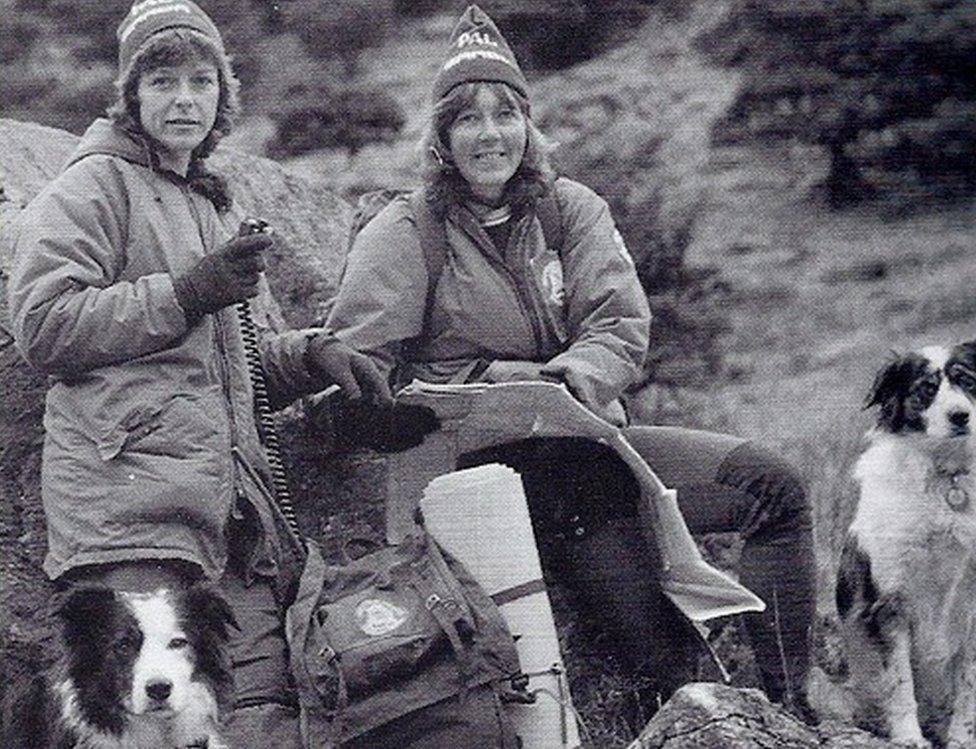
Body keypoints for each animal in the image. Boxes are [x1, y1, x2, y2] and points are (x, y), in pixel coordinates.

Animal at [836, 342, 976, 744]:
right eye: (926, 389)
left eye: (968, 381)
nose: (961, 416)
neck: (946, 477)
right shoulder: (889, 600)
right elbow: (899, 684)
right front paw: (909, 737)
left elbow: (969, 685)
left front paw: (963, 738)